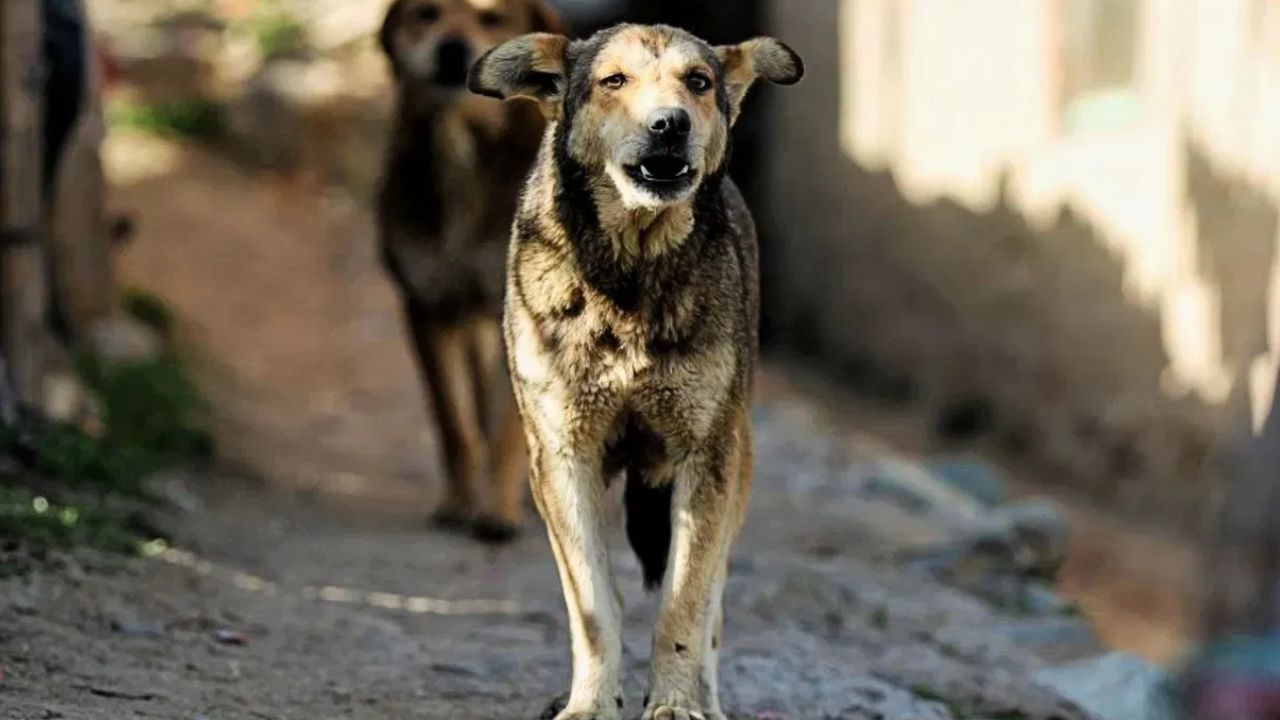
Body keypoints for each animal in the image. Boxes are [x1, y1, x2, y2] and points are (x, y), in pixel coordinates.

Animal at [373, 0, 565, 538]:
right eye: (427, 13)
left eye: (492, 18)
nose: (452, 48)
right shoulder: (427, 306)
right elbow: (453, 424)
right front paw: (459, 502)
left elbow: (507, 431)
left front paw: (497, 511)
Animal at [471, 20, 803, 712]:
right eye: (613, 81)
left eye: (697, 81)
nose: (669, 124)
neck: (630, 276)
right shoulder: (562, 458)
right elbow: (595, 606)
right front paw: (590, 704)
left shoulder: (707, 457)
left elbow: (686, 603)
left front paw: (675, 703)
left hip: (739, 463)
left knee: (714, 608)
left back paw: (707, 699)